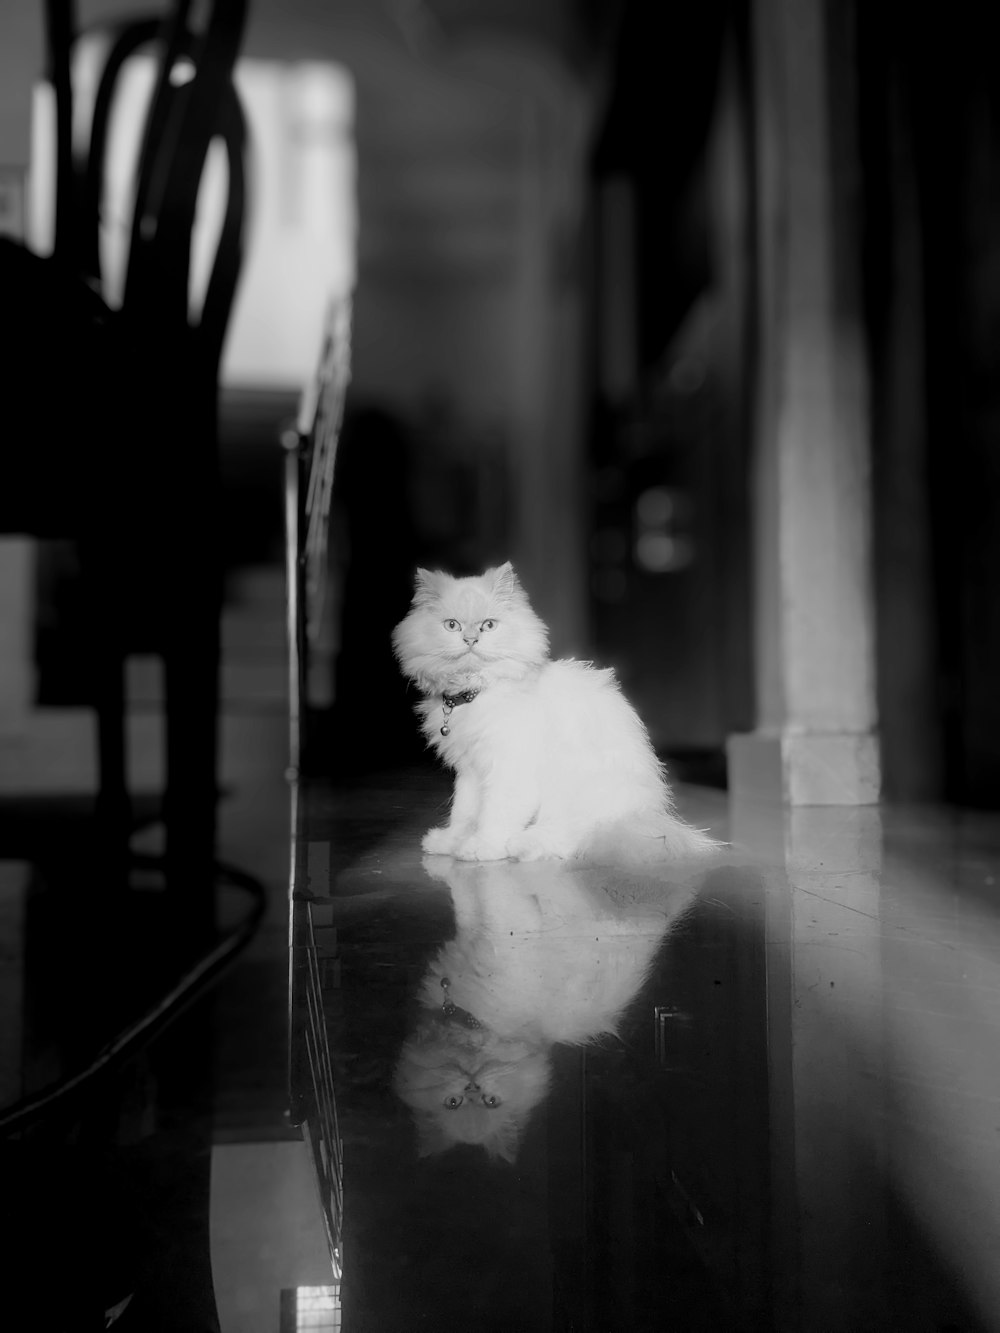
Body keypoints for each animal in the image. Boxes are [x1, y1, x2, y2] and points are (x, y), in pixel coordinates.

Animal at [392, 562, 720, 863]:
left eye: (488, 626)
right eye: (452, 626)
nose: (470, 640)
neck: (475, 690)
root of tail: (639, 817)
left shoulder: (510, 768)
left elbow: (495, 814)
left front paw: (480, 847)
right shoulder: (470, 771)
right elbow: (463, 811)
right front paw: (449, 842)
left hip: (574, 791)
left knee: (571, 839)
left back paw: (523, 844)